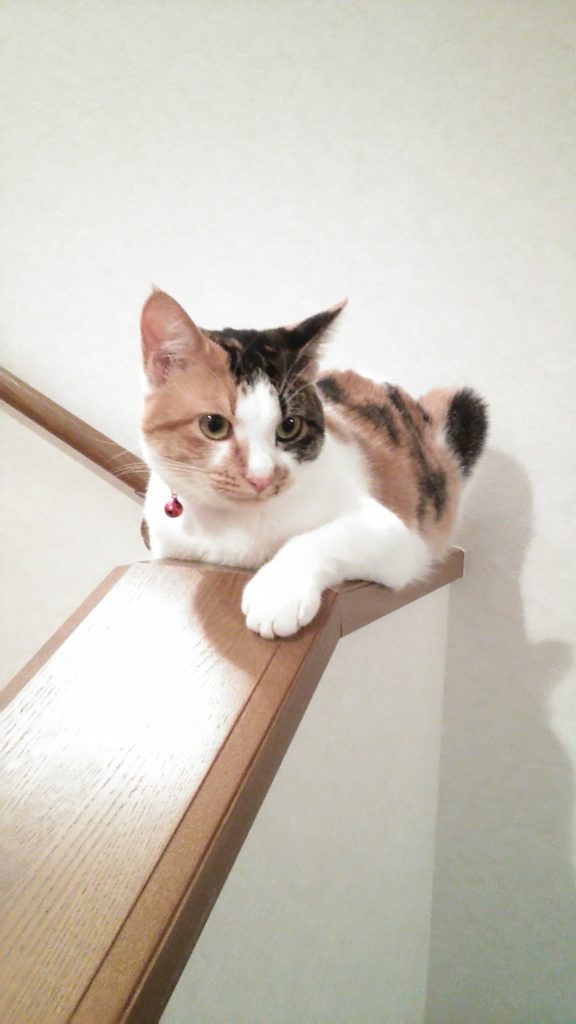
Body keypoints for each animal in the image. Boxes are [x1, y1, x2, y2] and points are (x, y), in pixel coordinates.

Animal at [140, 290, 488, 638]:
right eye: (213, 425)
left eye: (289, 426)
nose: (261, 477)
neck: (231, 527)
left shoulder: (395, 535)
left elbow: (321, 538)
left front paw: (276, 593)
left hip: (465, 411)